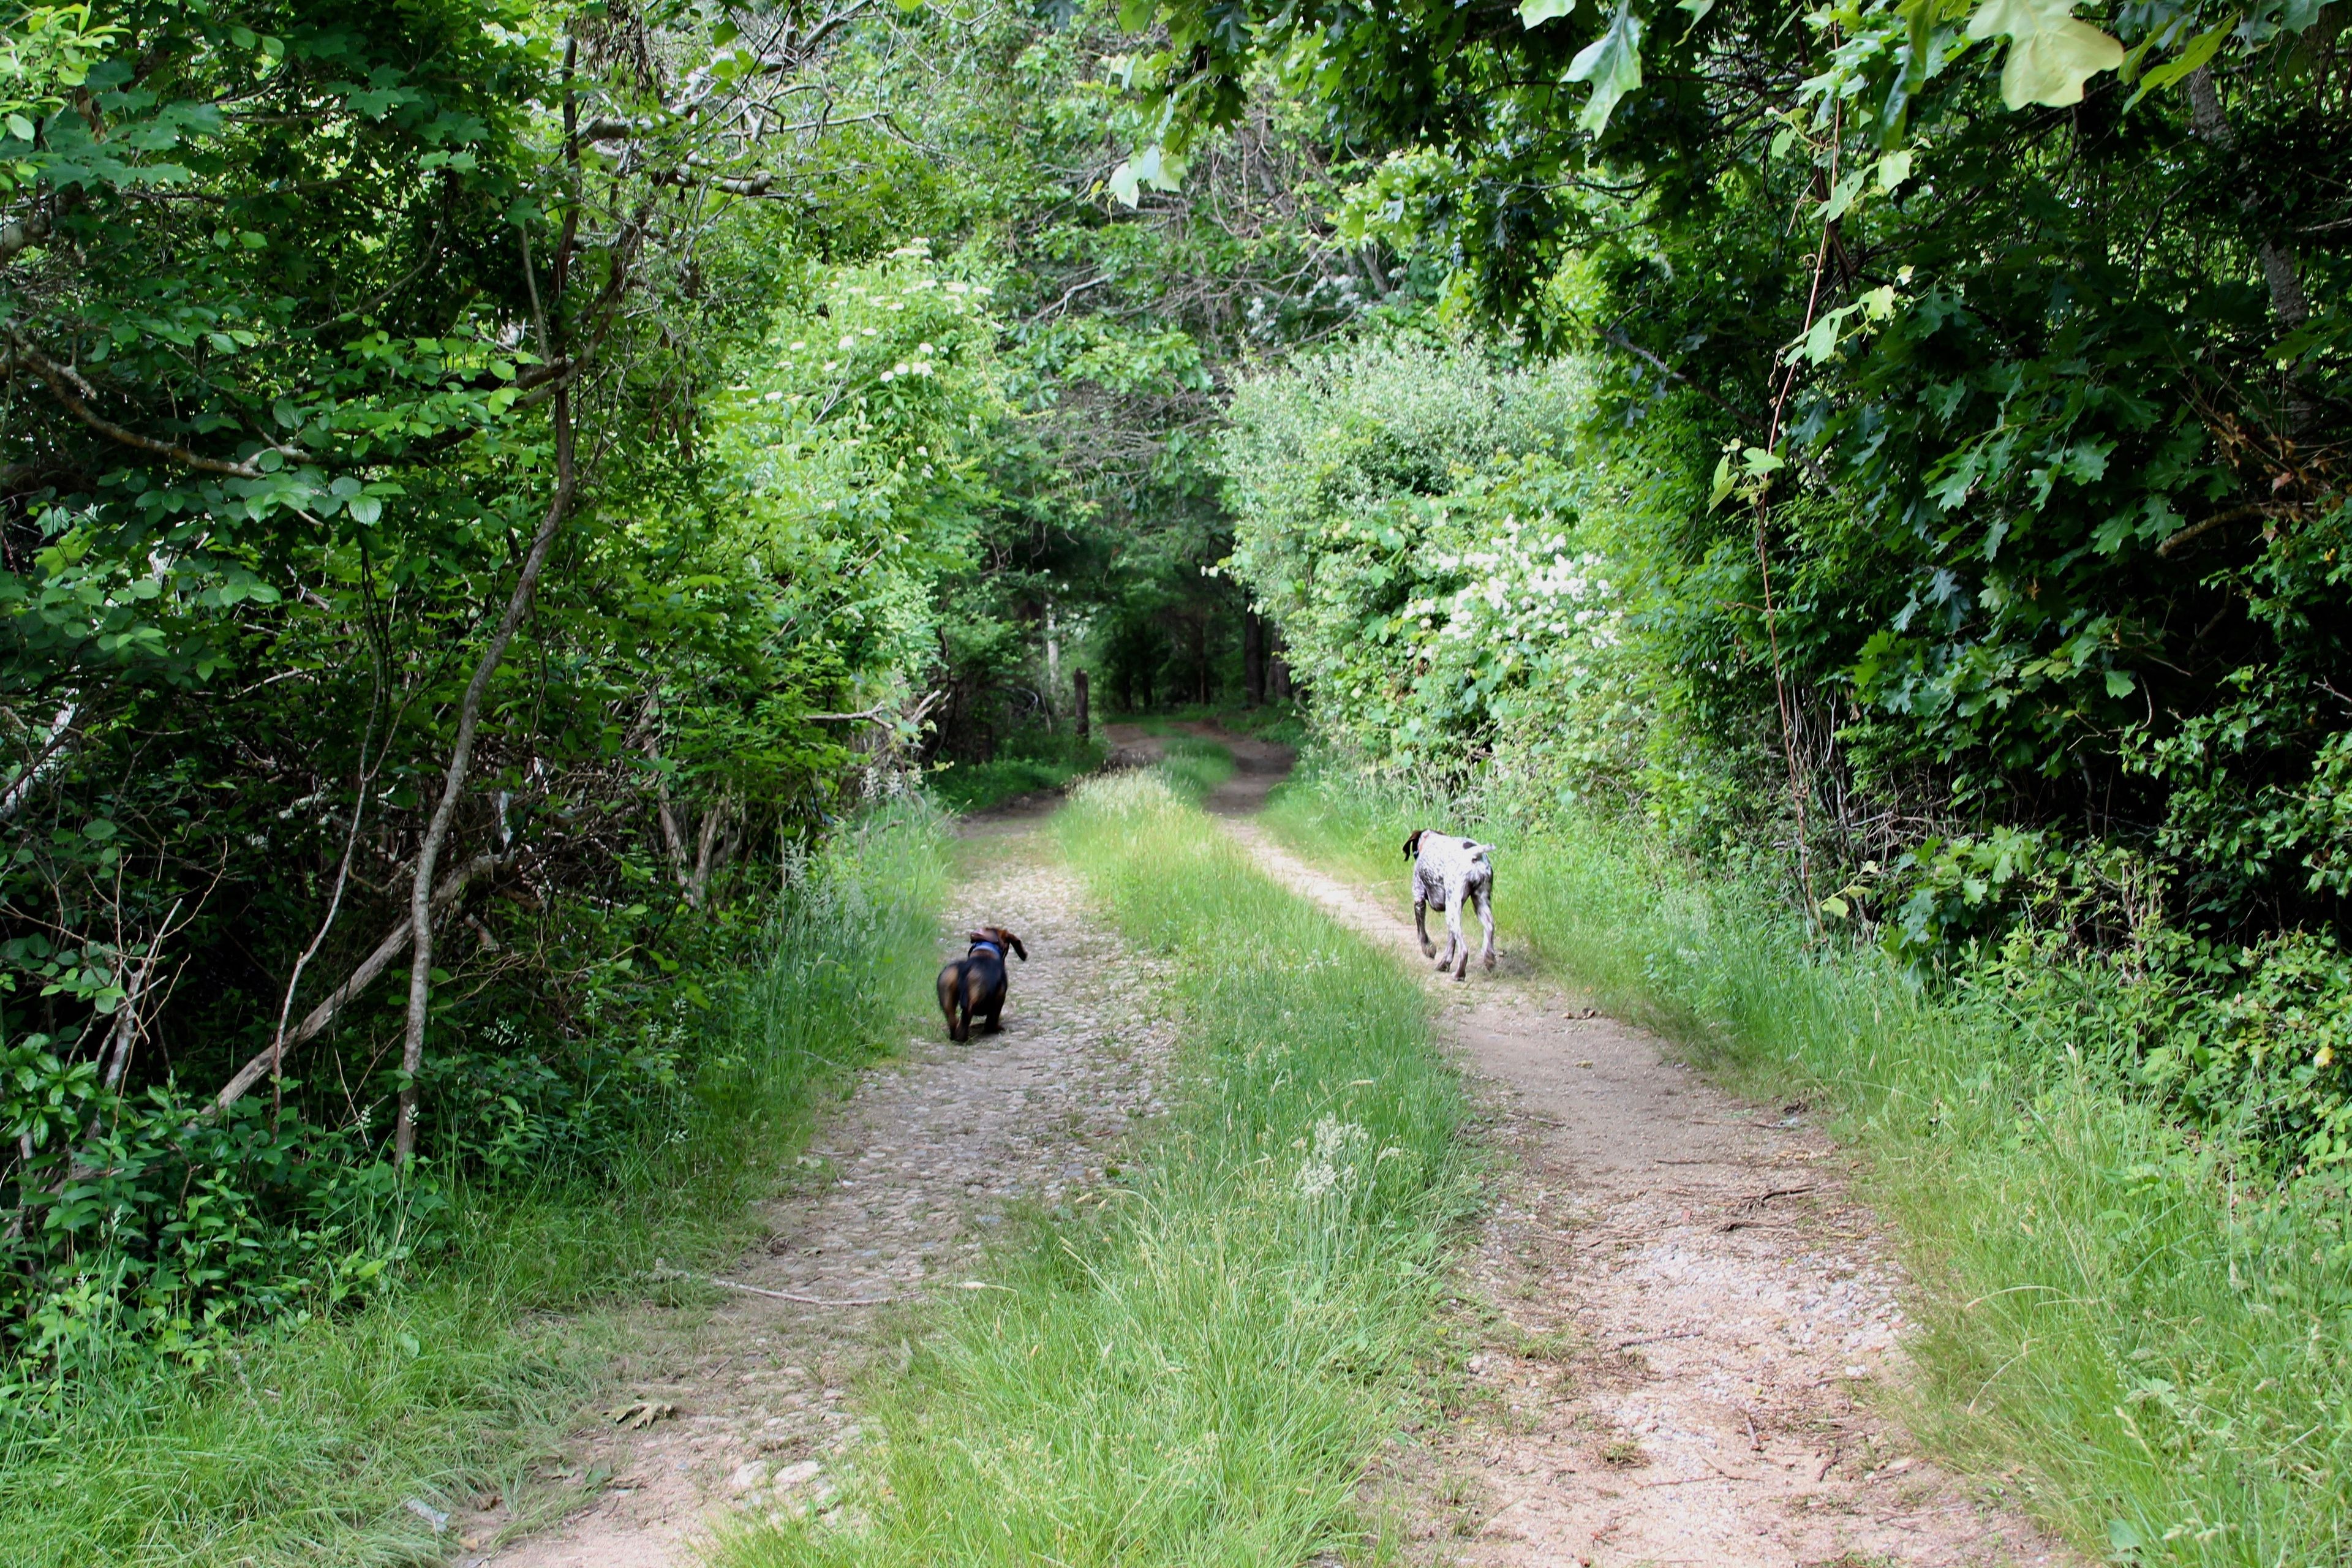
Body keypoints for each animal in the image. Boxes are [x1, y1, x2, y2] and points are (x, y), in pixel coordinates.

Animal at [1401, 827, 1496, 973]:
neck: (1429, 840)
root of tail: (1474, 855)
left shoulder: (1419, 898)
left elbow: (1421, 933)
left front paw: (1428, 949)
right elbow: (1451, 942)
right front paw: (1445, 963)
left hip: (1452, 912)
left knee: (1464, 950)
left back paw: (1459, 974)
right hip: (1479, 904)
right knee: (1490, 928)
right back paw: (1489, 959)